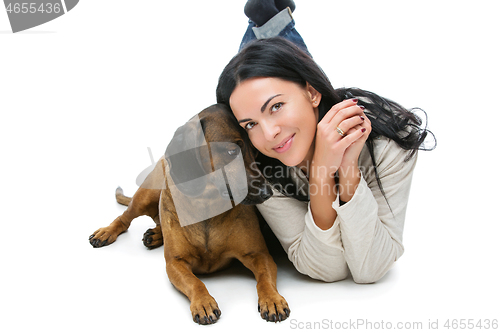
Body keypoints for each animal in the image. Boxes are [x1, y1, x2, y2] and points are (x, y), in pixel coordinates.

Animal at [91, 104, 290, 324]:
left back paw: (155, 234)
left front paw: (272, 298)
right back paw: (107, 232)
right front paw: (203, 302)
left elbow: (264, 277)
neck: (208, 204)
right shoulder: (175, 264)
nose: (268, 192)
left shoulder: (259, 255)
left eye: (255, 152)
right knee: (125, 217)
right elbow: (195, 283)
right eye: (232, 151)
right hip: (145, 195)